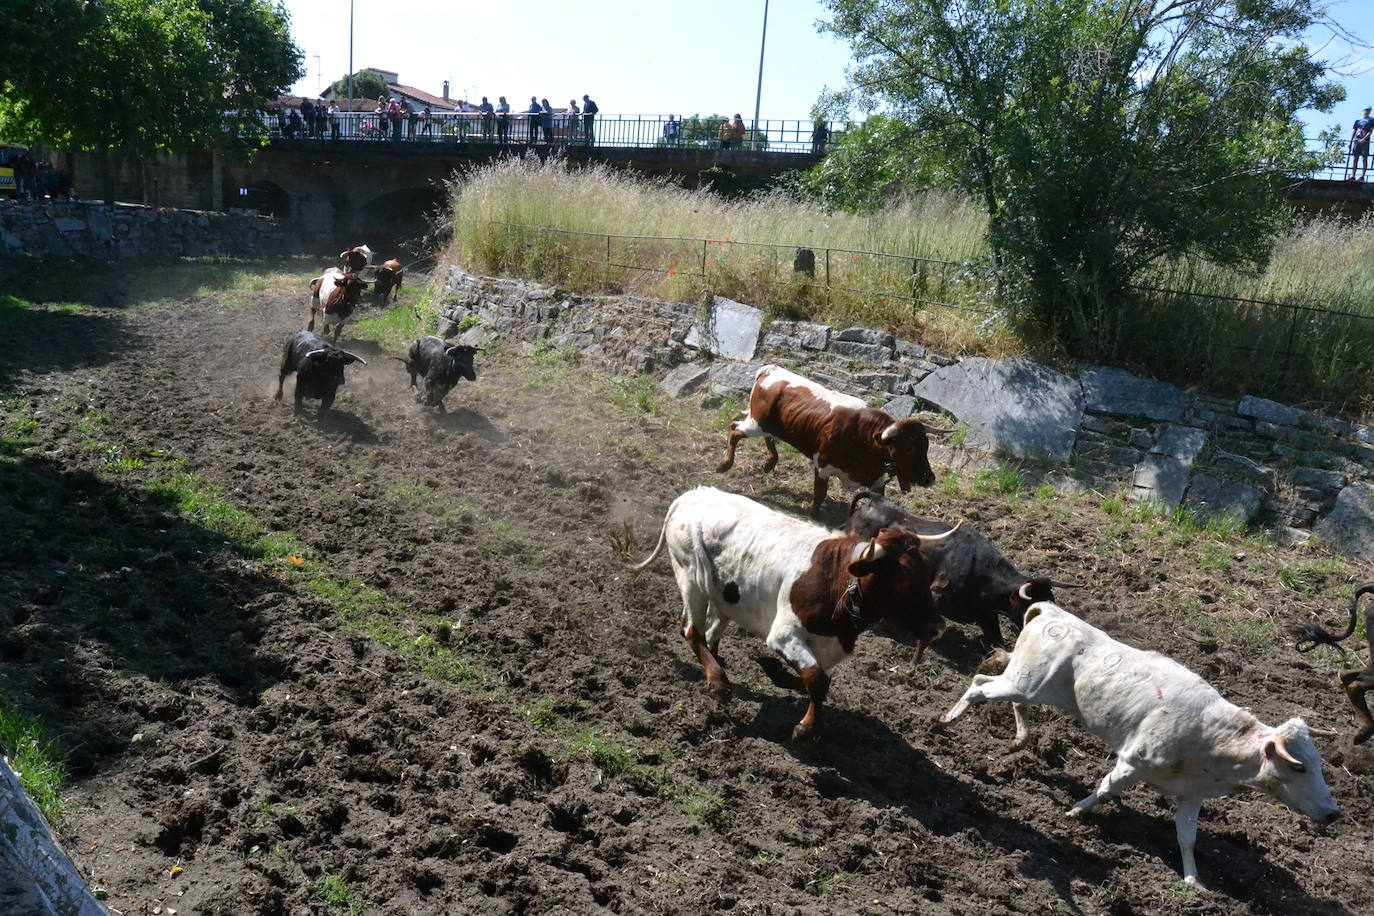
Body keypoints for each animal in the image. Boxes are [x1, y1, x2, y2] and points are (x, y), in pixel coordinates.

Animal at [629, 486, 950, 736]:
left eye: (926, 572)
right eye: (902, 577)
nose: (937, 628)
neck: (837, 582)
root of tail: (691, 496)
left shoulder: (829, 650)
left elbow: (819, 681)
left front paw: (778, 675)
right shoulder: (784, 636)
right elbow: (816, 680)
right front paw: (806, 728)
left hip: (723, 599)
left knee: (708, 633)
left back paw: (718, 666)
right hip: (690, 579)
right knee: (691, 631)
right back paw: (718, 683)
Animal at [719, 362, 945, 516]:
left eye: (926, 447)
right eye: (908, 448)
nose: (929, 478)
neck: (863, 438)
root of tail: (772, 370)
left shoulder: (877, 480)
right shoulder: (822, 466)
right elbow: (819, 495)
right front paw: (814, 517)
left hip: (770, 426)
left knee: (766, 437)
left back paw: (769, 462)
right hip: (756, 424)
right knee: (734, 429)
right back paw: (725, 463)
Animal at [840, 491, 1077, 648]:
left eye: (1052, 602)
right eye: (1033, 608)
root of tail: (875, 500)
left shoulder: (986, 614)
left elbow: (996, 639)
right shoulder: (937, 595)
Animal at [939, 601, 1335, 889]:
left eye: (1318, 765)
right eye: (1298, 766)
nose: (1334, 814)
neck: (1214, 737)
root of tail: (1050, 611)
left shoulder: (1191, 794)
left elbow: (1187, 838)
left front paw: (1193, 880)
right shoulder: (1132, 762)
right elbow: (1106, 788)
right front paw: (1075, 812)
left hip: (1030, 687)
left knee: (1001, 691)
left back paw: (1019, 740)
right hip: (1025, 683)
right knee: (979, 685)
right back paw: (948, 719)